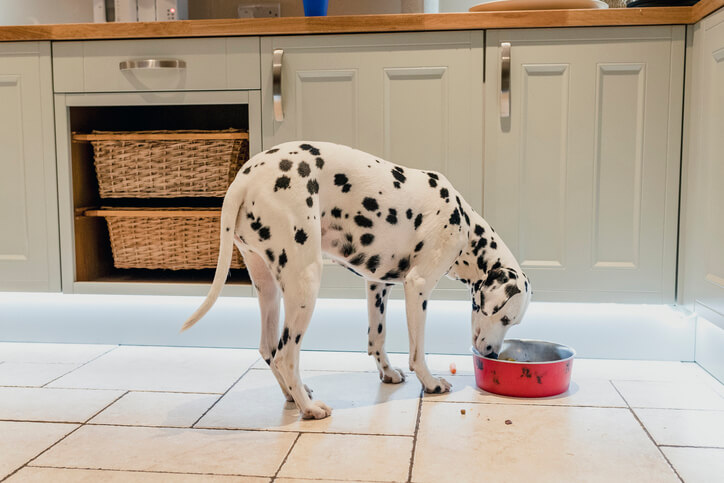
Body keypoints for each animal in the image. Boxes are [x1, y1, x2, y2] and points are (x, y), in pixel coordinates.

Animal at [181, 141, 532, 420]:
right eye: (504, 318)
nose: (491, 355)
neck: (465, 225)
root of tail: (244, 179)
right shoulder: (418, 287)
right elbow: (418, 352)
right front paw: (431, 383)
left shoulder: (377, 285)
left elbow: (377, 338)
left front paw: (387, 373)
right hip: (305, 283)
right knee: (285, 354)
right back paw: (309, 408)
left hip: (269, 289)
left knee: (269, 349)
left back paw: (294, 396)